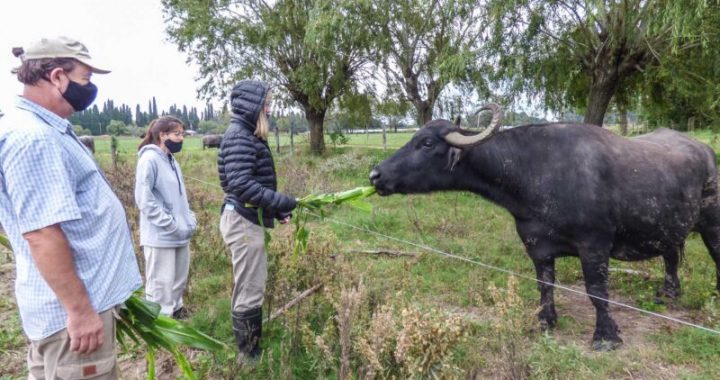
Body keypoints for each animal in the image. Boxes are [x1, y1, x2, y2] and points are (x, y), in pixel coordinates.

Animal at [368, 103, 720, 350]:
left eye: (427, 143)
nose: (375, 175)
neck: (536, 173)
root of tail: (706, 151)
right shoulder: (537, 245)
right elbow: (545, 286)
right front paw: (545, 321)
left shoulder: (594, 246)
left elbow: (597, 293)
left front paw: (606, 336)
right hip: (669, 226)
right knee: (671, 254)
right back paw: (668, 292)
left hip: (711, 223)